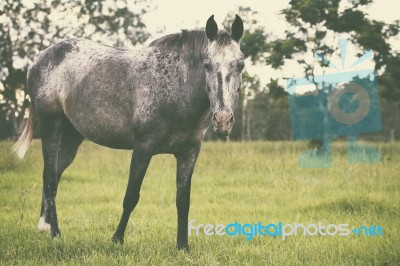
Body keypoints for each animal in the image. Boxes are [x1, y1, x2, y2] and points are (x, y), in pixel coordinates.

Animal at [12, 14, 244, 251]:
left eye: (241, 65)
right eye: (207, 64)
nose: (223, 120)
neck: (177, 87)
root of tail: (41, 58)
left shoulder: (189, 153)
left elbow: (183, 201)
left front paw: (183, 247)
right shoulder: (143, 148)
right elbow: (131, 196)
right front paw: (117, 239)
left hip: (71, 137)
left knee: (56, 176)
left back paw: (50, 230)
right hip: (51, 128)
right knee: (49, 177)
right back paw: (53, 232)